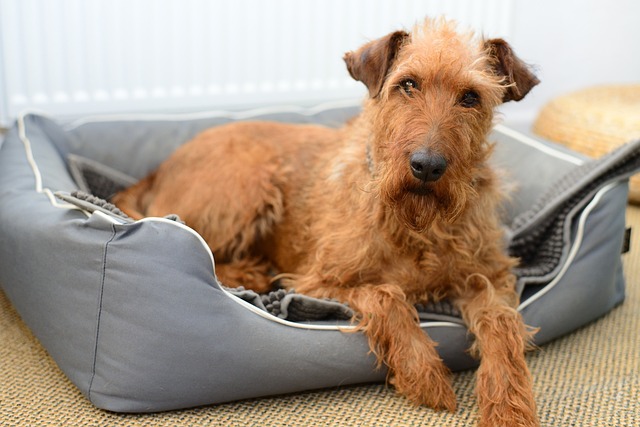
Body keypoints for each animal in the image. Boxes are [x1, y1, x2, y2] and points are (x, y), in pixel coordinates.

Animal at [114, 17, 540, 427]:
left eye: (471, 97)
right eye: (408, 84)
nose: (427, 166)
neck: (418, 222)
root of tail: (158, 171)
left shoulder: (491, 278)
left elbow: (503, 326)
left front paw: (510, 410)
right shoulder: (315, 283)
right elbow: (387, 295)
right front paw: (424, 374)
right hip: (250, 184)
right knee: (206, 247)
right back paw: (251, 274)